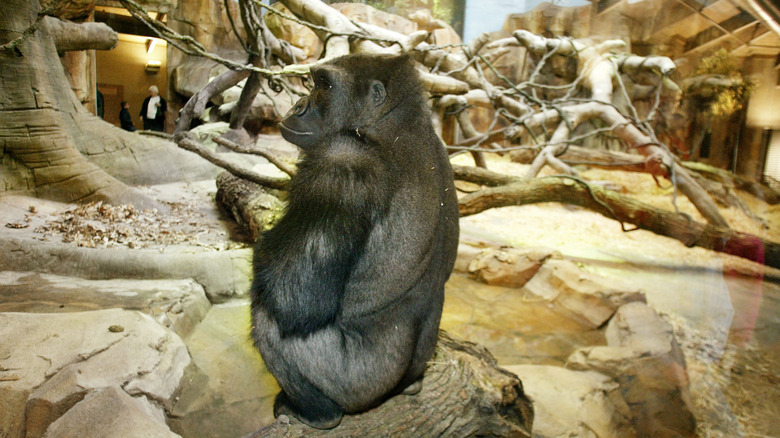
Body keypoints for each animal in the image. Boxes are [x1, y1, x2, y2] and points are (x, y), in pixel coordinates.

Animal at [250, 53, 460, 430]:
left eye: (324, 85)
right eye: (314, 82)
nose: (298, 105)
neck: (395, 122)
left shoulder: (340, 158)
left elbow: (293, 300)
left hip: (356, 388)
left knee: (269, 316)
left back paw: (319, 414)